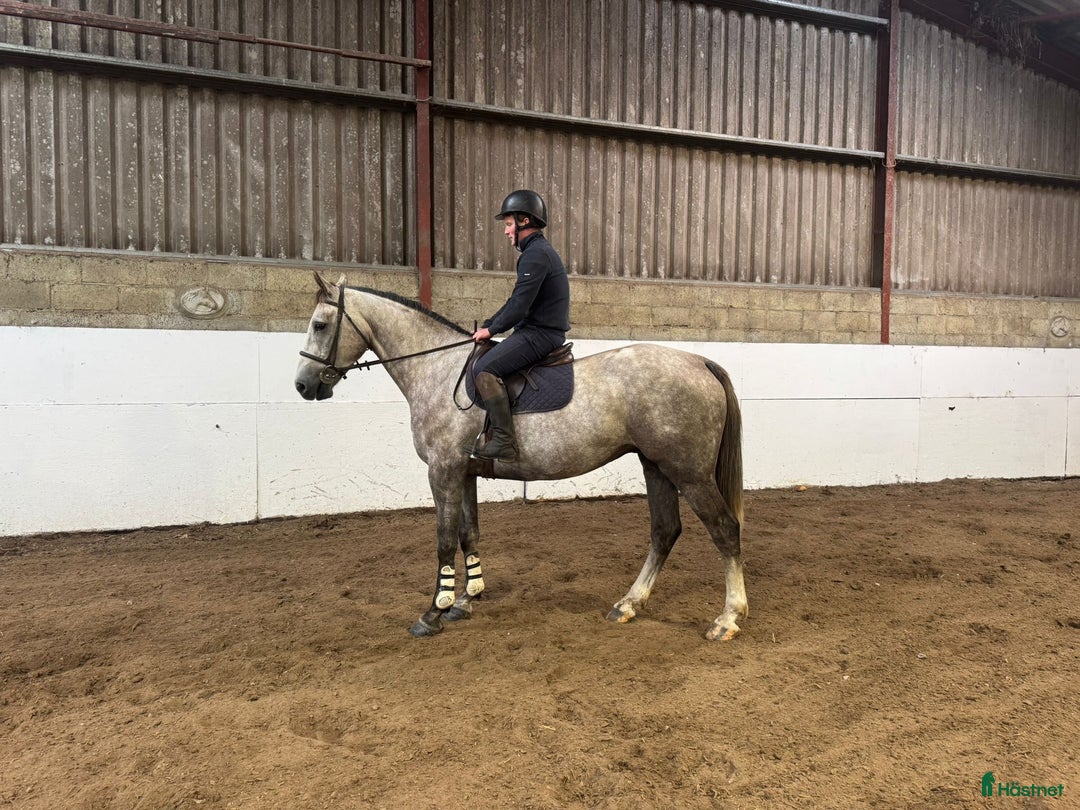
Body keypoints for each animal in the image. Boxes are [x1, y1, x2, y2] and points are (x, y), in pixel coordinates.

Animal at [294, 273, 747, 641]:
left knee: (725, 530)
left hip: (689, 473)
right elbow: (468, 534)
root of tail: (699, 361)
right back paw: (629, 604)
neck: (437, 369)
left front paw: (434, 612)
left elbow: (443, 541)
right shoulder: (465, 473)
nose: (302, 385)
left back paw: (727, 619)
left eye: (320, 325)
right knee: (664, 531)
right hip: (657, 467)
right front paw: (466, 600)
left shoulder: (443, 471)